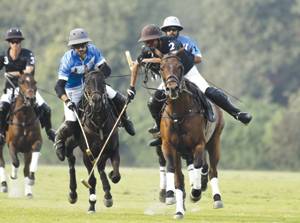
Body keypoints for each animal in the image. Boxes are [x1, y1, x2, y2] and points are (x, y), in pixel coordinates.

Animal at [65, 70, 120, 213]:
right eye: (87, 83)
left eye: (103, 82)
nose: (96, 101)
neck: (99, 123)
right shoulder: (87, 154)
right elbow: (92, 180)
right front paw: (93, 204)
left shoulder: (113, 149)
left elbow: (115, 175)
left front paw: (108, 190)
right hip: (71, 142)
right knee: (71, 160)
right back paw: (73, 194)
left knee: (100, 168)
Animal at [161, 52, 224, 220]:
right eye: (162, 67)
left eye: (180, 67)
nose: (172, 88)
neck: (178, 114)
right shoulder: (169, 146)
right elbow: (175, 175)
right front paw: (175, 206)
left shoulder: (198, 144)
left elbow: (197, 165)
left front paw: (195, 192)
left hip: (214, 142)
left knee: (212, 170)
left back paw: (216, 198)